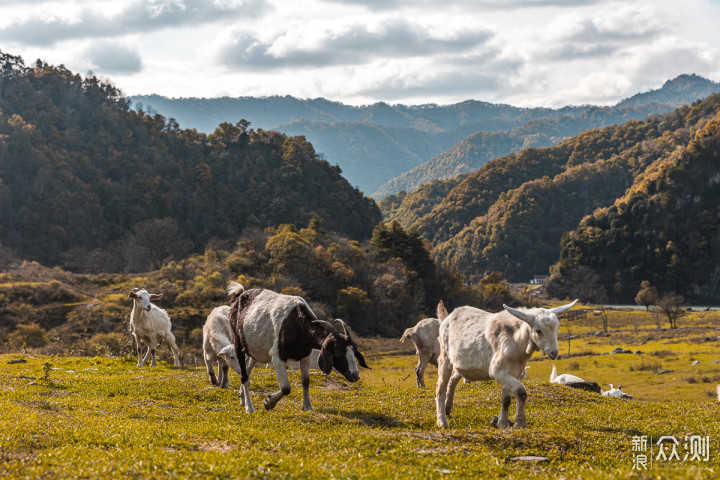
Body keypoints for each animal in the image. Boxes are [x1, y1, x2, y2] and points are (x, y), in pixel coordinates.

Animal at [226, 282, 372, 412]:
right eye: (338, 352)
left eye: (354, 352)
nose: (355, 376)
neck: (297, 322)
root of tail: (239, 296)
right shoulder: (277, 357)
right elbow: (286, 388)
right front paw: (268, 402)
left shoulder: (305, 356)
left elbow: (305, 381)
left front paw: (307, 406)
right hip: (238, 342)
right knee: (244, 375)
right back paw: (249, 407)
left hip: (254, 349)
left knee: (248, 368)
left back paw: (242, 399)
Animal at [434, 302, 580, 430]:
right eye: (538, 331)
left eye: (557, 328)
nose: (554, 353)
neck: (517, 342)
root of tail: (448, 316)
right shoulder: (499, 371)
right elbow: (521, 392)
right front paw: (520, 423)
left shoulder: (514, 372)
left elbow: (506, 399)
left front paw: (503, 424)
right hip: (444, 355)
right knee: (441, 387)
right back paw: (442, 421)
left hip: (460, 364)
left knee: (452, 380)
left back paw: (447, 409)